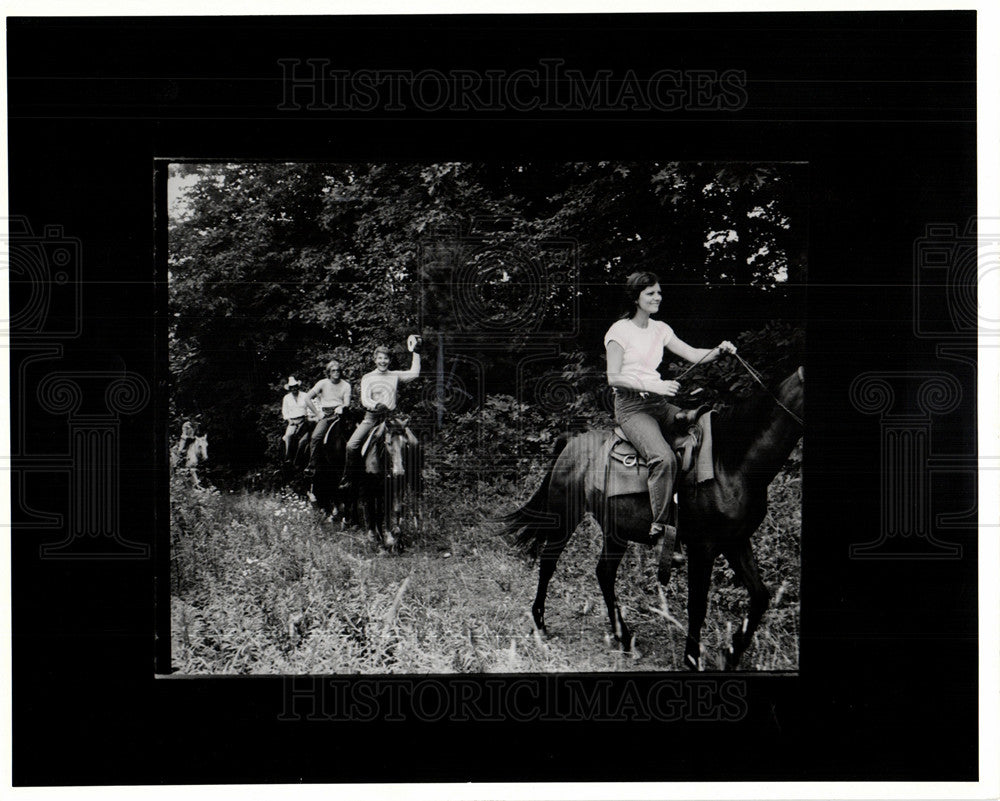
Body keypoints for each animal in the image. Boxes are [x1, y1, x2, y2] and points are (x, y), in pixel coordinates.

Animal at [500, 368, 804, 668]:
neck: (731, 462)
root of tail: (570, 443)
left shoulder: (737, 542)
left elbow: (760, 597)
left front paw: (730, 655)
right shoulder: (702, 548)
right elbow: (697, 605)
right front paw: (692, 658)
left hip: (615, 531)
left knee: (604, 573)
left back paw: (624, 638)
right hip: (565, 515)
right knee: (549, 562)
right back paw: (540, 622)